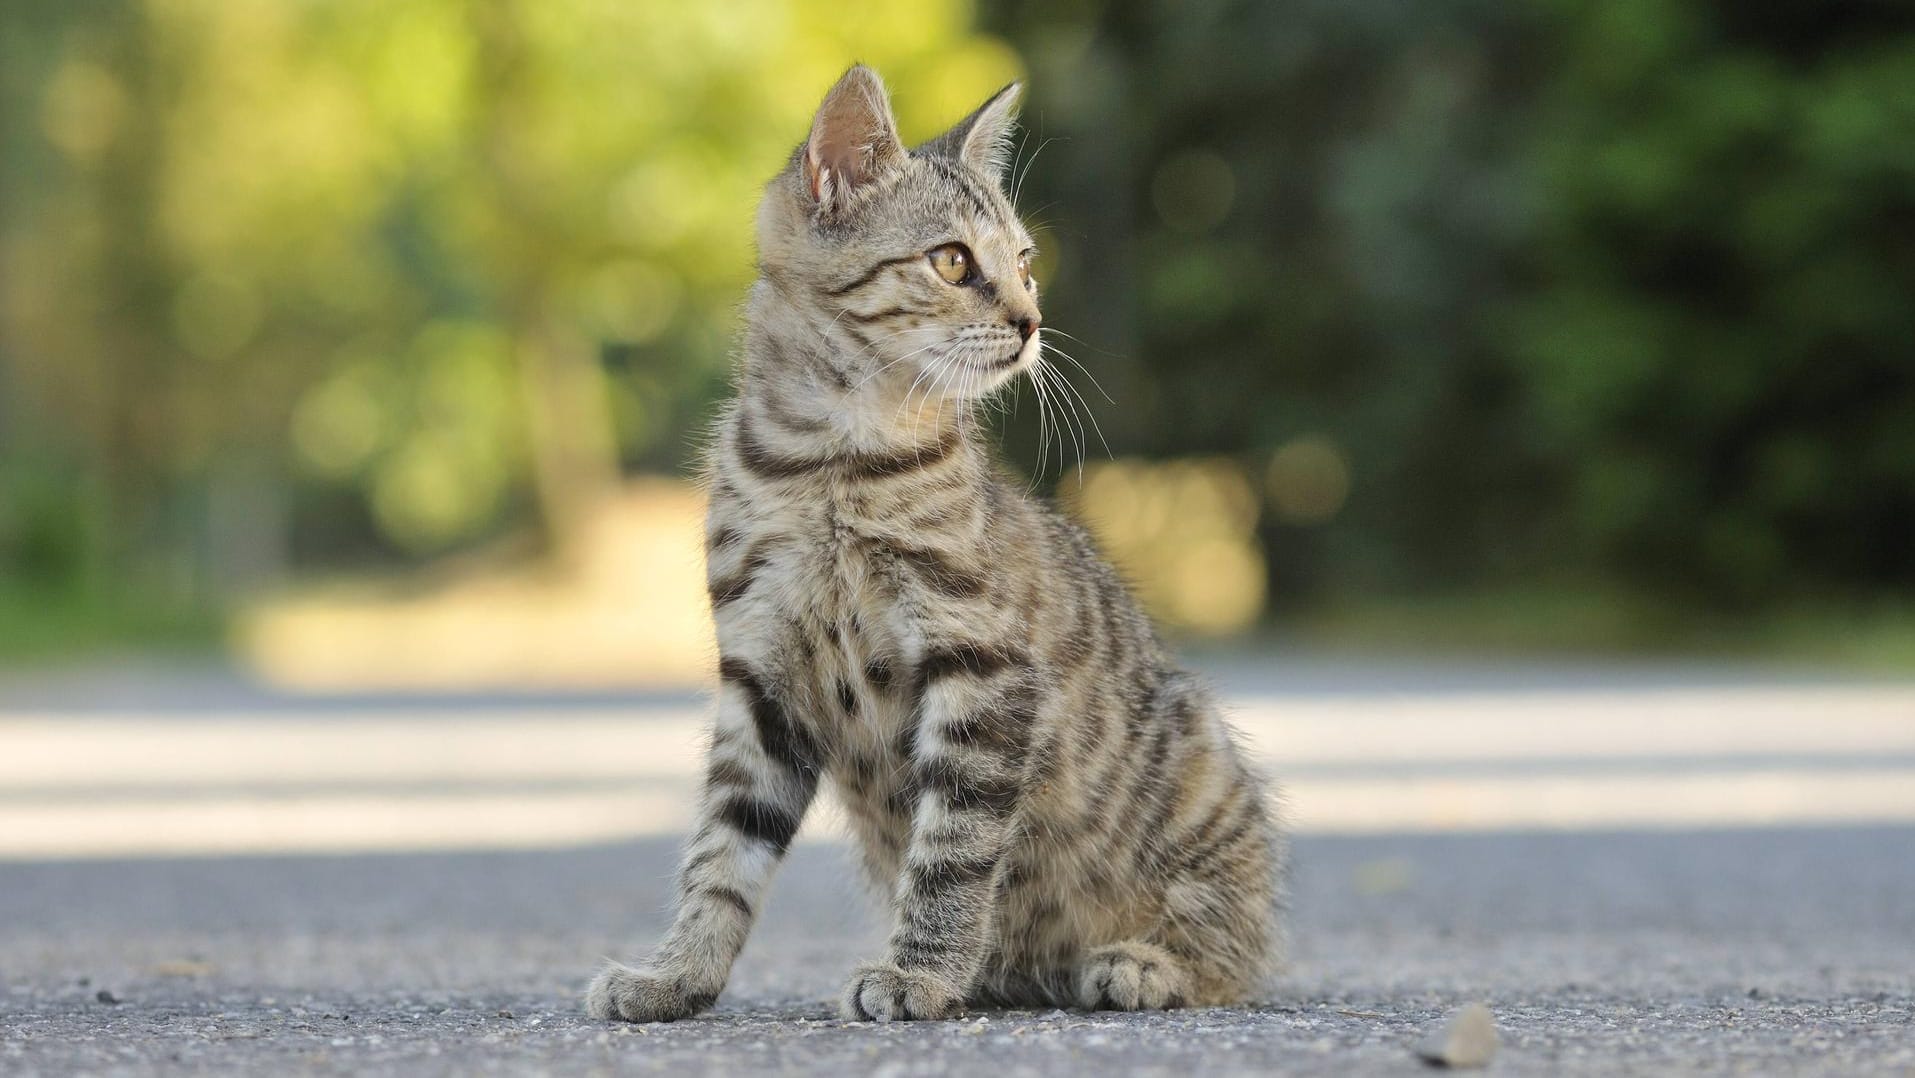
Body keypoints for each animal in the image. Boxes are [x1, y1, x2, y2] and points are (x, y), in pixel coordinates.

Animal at [582, 63, 1286, 1026]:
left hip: (1199, 774)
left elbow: (954, 848)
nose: (1031, 320)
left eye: (1023, 263)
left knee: (1235, 948)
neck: (830, 461)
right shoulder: (760, 678)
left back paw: (1140, 963)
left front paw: (917, 972)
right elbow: (722, 850)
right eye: (952, 261)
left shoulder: (984, 669)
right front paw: (677, 975)